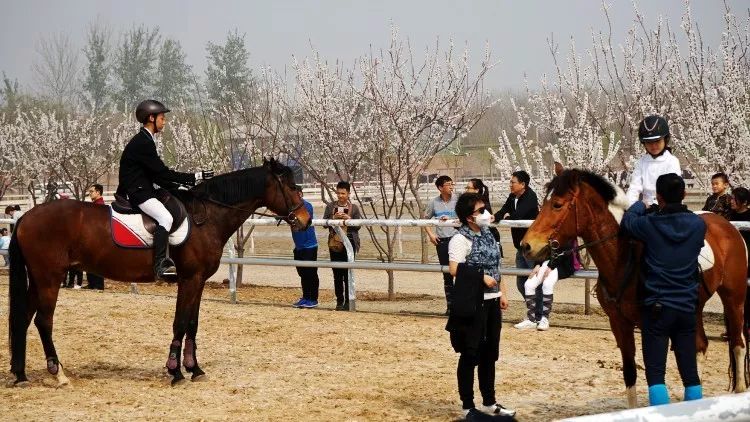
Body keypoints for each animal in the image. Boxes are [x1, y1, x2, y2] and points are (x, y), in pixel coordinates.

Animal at [9, 157, 308, 386]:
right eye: (292, 186)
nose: (304, 220)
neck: (207, 217)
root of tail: (26, 217)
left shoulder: (198, 281)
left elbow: (192, 323)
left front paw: (194, 368)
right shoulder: (189, 279)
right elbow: (180, 322)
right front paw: (175, 371)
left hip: (38, 279)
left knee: (23, 319)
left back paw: (20, 374)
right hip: (49, 278)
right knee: (43, 321)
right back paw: (58, 374)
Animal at [520, 166, 748, 408]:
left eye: (557, 204)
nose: (527, 246)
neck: (624, 258)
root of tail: (727, 226)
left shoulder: (651, 326)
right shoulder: (619, 323)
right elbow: (630, 371)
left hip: (734, 299)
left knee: (737, 344)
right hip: (694, 309)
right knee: (700, 347)